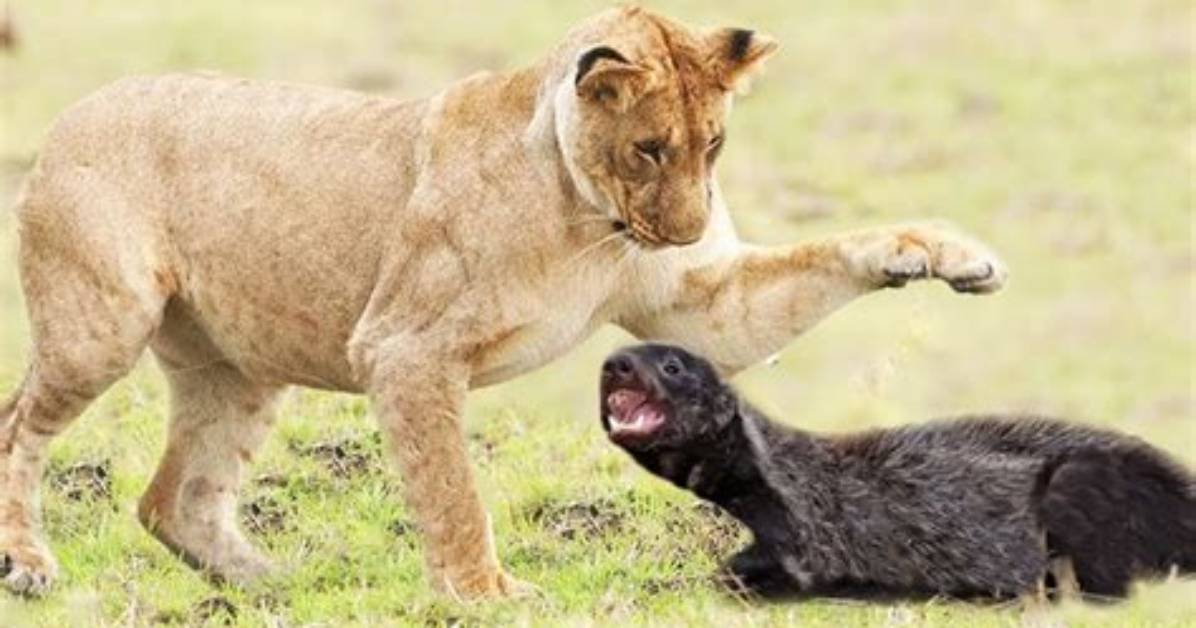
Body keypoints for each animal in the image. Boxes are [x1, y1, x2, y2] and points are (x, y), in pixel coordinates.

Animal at [0, 7, 1005, 599]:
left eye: (713, 144)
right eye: (649, 148)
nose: (687, 231)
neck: (585, 216)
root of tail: (78, 106)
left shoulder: (700, 305)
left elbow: (825, 259)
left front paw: (945, 255)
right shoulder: (404, 348)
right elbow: (451, 489)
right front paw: (484, 596)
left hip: (240, 369)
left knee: (173, 498)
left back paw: (273, 581)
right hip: (101, 326)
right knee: (19, 428)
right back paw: (27, 563)